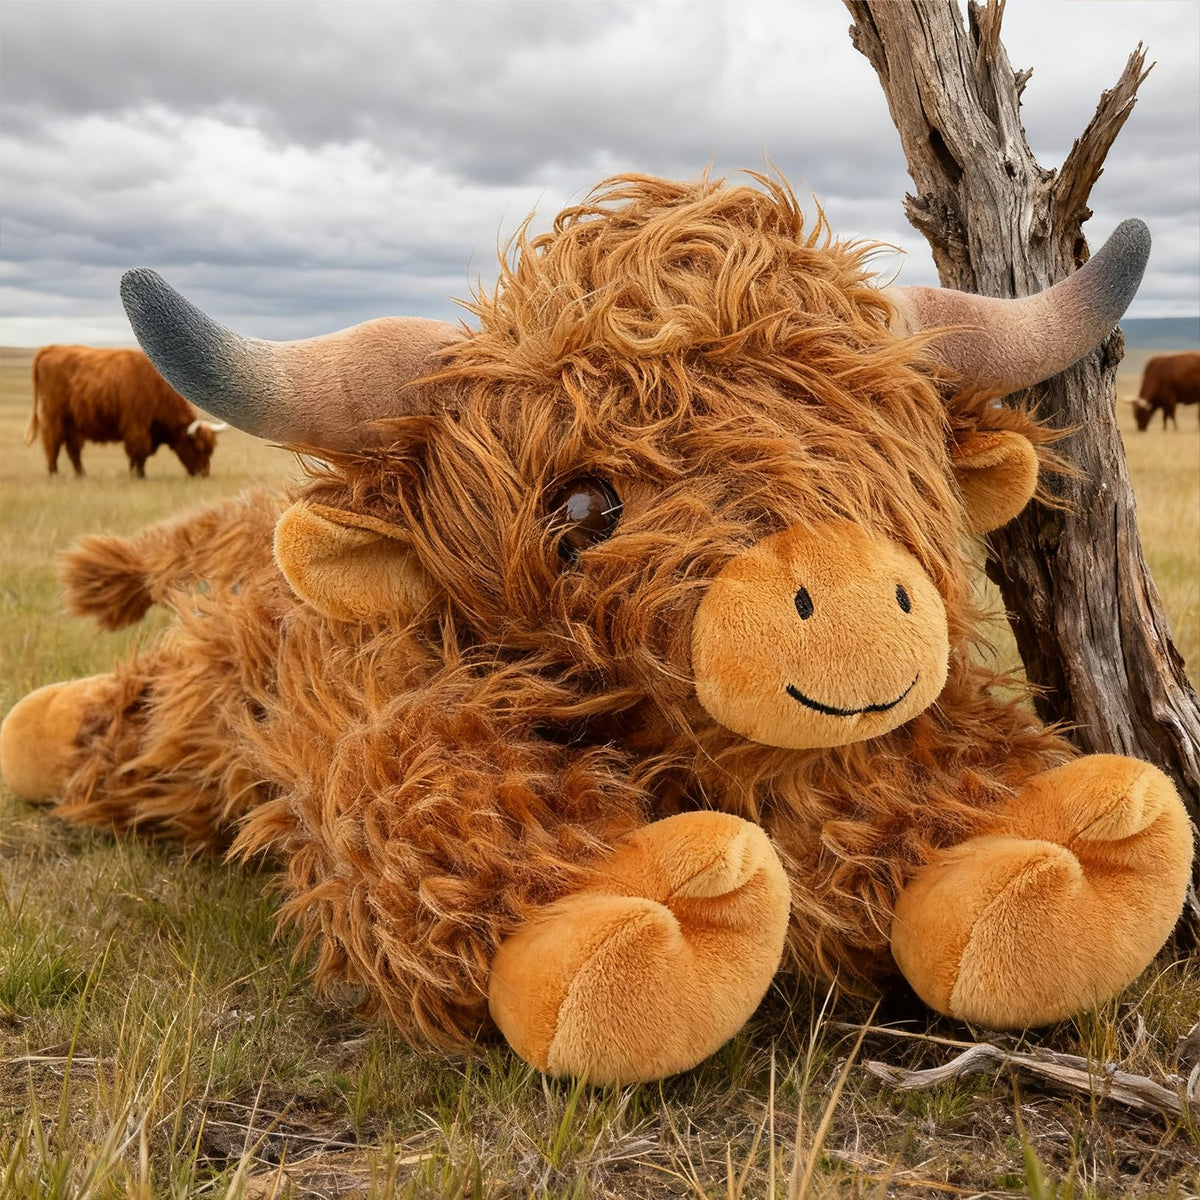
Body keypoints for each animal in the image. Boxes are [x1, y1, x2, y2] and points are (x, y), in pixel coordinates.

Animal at [27, 344, 226, 477]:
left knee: (72, 448)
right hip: (55, 417)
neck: (157, 388)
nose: (204, 473)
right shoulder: (137, 426)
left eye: (212, 448)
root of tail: (52, 348)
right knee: (52, 442)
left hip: (74, 423)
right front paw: (139, 475)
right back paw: (54, 473)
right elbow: (139, 451)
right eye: (198, 447)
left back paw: (81, 474)